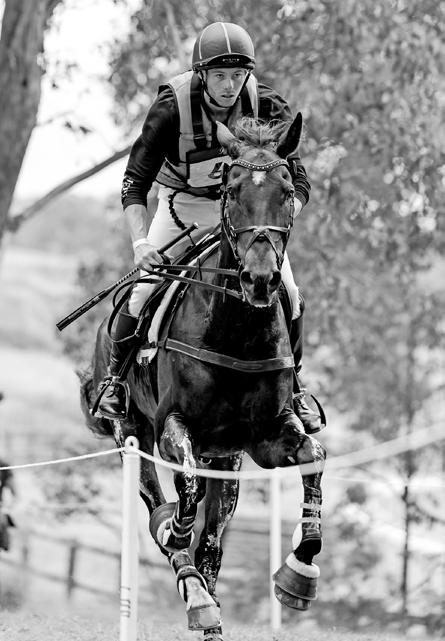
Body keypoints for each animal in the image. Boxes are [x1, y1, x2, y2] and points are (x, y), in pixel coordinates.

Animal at [80, 114, 326, 640]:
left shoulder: (264, 438)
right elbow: (186, 491)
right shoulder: (173, 426)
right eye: (230, 191)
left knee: (212, 541)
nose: (259, 280)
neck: (236, 328)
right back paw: (192, 589)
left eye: (287, 192)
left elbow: (313, 458)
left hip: (227, 459)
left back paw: (208, 608)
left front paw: (300, 571)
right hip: (132, 434)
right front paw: (173, 528)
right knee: (158, 501)